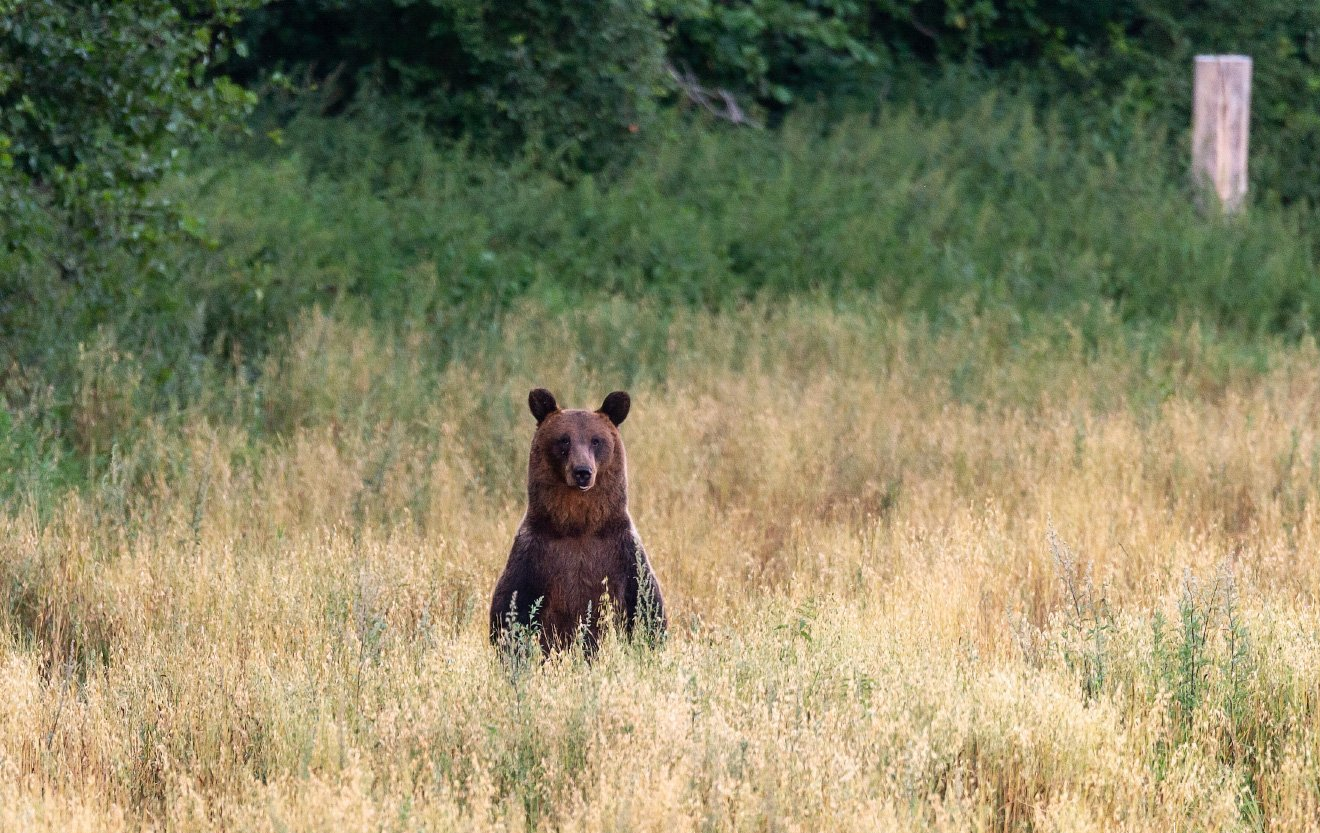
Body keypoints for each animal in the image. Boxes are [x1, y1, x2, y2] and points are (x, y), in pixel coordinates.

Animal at [489, 388, 666, 657]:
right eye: (564, 439)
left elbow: (647, 606)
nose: (582, 471)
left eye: (596, 440)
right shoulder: (534, 555)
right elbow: (509, 608)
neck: (578, 527)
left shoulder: (624, 554)